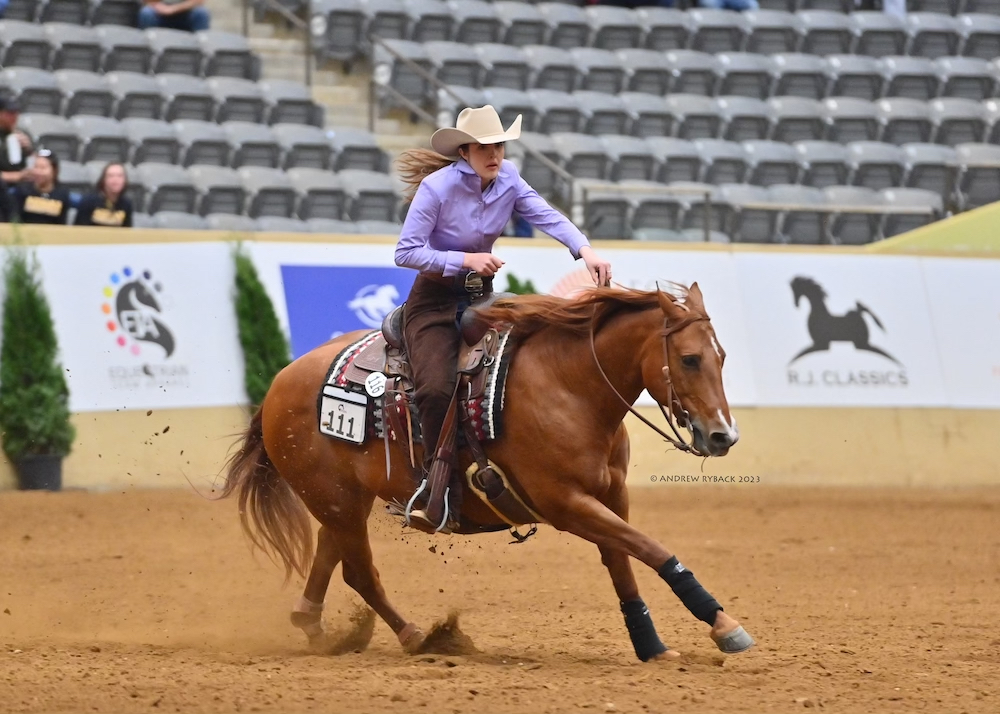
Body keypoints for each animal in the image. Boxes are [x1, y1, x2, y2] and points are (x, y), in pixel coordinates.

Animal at [223, 280, 752, 660]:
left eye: (722, 357)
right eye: (689, 359)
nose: (723, 436)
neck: (569, 386)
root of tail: (282, 379)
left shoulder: (610, 496)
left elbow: (624, 562)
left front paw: (651, 645)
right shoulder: (566, 505)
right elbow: (651, 549)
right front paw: (724, 625)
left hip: (345, 499)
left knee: (329, 553)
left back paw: (314, 627)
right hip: (335, 499)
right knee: (359, 572)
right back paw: (419, 637)